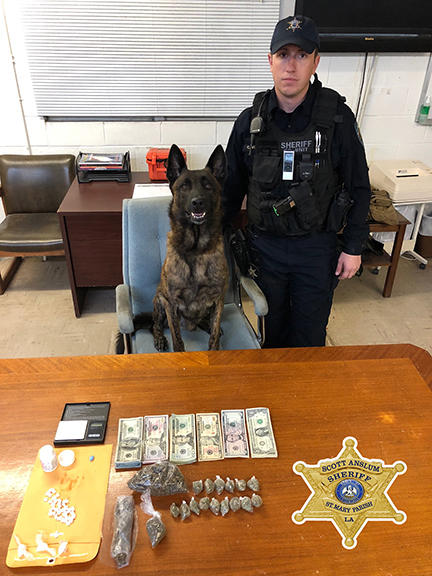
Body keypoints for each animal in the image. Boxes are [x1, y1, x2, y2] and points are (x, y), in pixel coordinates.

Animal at [154, 143, 230, 352]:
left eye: (208, 186)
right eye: (184, 186)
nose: (198, 202)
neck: (196, 249)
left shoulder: (218, 299)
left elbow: (214, 335)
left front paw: (215, 345)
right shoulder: (171, 302)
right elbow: (177, 339)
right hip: (160, 300)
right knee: (154, 324)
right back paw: (159, 338)